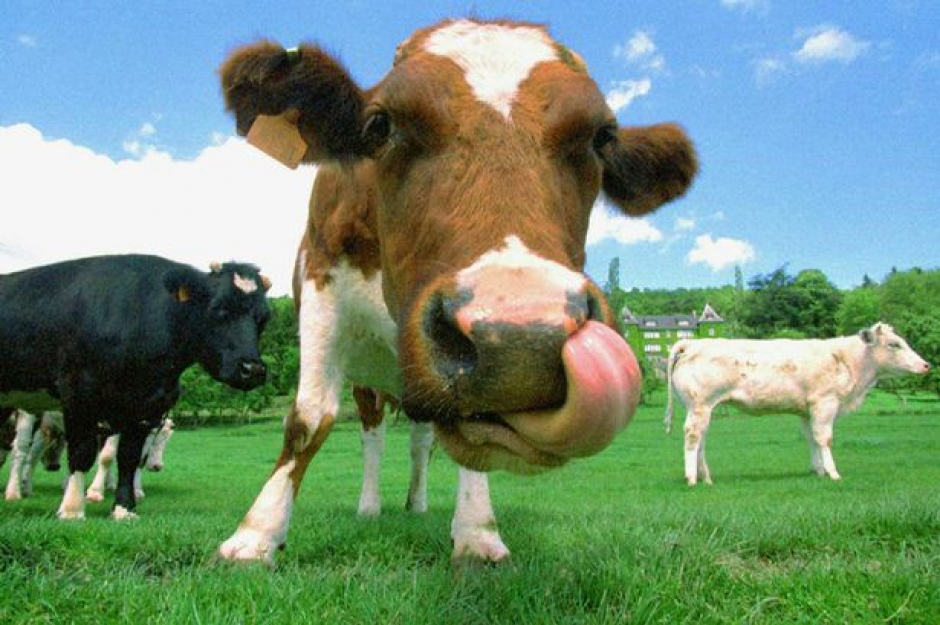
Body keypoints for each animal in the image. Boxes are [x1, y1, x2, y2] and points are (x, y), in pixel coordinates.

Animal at [0, 254, 271, 520]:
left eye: (263, 318)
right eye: (219, 308)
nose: (252, 369)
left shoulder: (148, 405)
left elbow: (129, 458)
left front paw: (124, 508)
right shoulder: (79, 393)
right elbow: (83, 452)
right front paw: (73, 508)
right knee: (21, 450)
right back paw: (16, 492)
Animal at [216, 18, 696, 565]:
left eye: (602, 137)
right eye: (380, 124)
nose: (518, 342)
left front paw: (476, 531)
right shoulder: (320, 278)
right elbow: (308, 417)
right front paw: (256, 533)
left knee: (422, 441)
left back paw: (417, 504)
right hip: (371, 378)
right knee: (372, 434)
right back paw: (370, 507)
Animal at [665, 323, 931, 486]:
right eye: (894, 344)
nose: (926, 365)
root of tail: (692, 343)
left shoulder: (807, 410)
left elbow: (812, 438)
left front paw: (819, 471)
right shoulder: (825, 403)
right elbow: (825, 439)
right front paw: (833, 473)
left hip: (701, 409)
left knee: (701, 439)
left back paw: (706, 477)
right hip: (700, 405)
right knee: (692, 437)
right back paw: (692, 478)